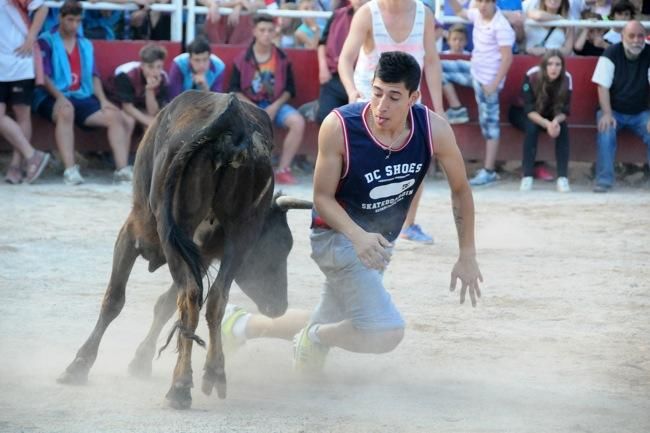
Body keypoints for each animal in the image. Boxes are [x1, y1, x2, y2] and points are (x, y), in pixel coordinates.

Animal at [59, 91, 312, 408]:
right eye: (276, 250)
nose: (279, 307)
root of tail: (232, 121)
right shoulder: (199, 253)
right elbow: (164, 305)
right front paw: (141, 359)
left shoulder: (133, 232)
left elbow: (115, 300)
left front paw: (80, 364)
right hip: (241, 234)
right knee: (214, 298)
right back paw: (213, 372)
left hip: (171, 232)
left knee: (190, 297)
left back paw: (180, 386)